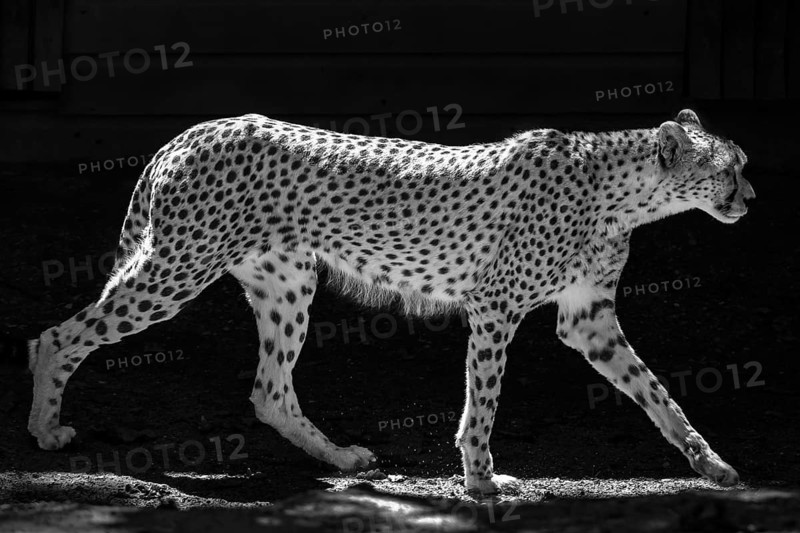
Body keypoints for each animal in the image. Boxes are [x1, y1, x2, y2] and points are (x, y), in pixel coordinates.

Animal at [28, 108, 754, 495]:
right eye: (728, 169)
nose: (750, 198)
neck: (622, 192)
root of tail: (194, 130)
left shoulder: (589, 320)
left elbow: (659, 394)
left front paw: (711, 462)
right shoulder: (495, 307)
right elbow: (483, 401)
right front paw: (481, 478)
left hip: (286, 283)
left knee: (270, 389)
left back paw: (341, 458)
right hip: (176, 270)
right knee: (56, 336)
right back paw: (45, 428)